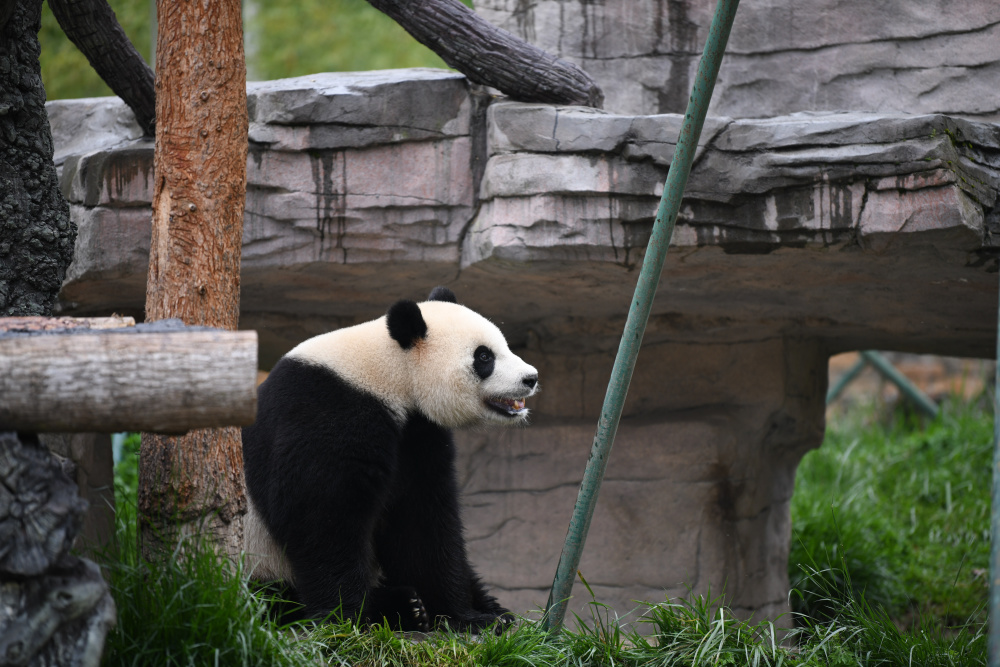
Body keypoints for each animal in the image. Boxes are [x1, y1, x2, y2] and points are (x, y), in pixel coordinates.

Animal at [243, 288, 540, 632]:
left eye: (503, 345)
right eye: (484, 357)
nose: (530, 378)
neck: (389, 372)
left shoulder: (416, 434)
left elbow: (421, 520)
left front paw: (466, 617)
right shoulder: (326, 412)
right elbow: (319, 513)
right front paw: (345, 618)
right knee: (271, 601)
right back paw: (401, 606)